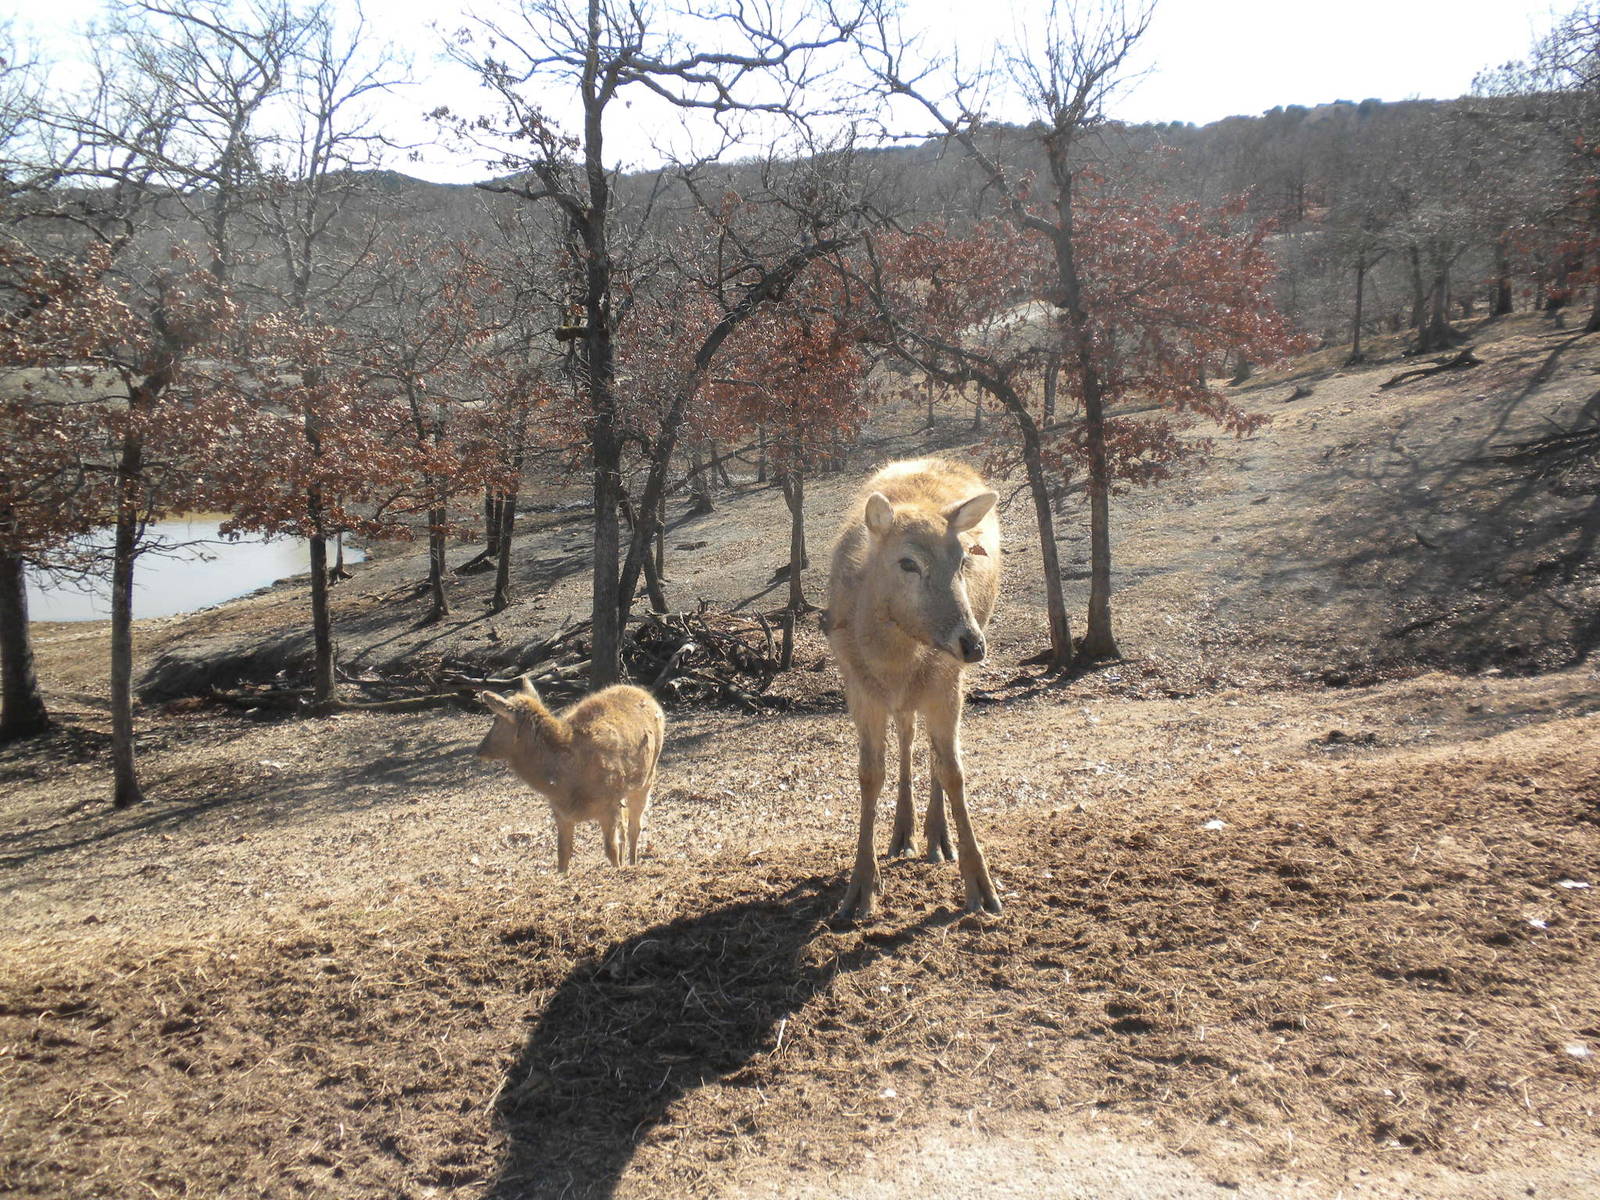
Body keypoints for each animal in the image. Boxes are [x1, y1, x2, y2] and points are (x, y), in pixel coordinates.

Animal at [476, 677, 666, 872]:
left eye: (496, 719)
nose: (479, 749)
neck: (564, 783)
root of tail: (647, 695)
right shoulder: (561, 813)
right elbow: (563, 855)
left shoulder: (608, 805)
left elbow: (611, 850)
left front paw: (618, 870)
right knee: (625, 828)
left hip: (647, 778)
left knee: (635, 827)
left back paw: (633, 863)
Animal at [824, 457, 1002, 921]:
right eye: (908, 563)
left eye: (963, 560)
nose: (973, 644)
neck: (894, 658)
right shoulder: (859, 688)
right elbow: (870, 774)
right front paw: (859, 891)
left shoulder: (946, 681)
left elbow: (953, 770)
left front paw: (983, 888)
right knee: (906, 730)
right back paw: (903, 833)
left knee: (930, 748)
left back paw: (937, 838)